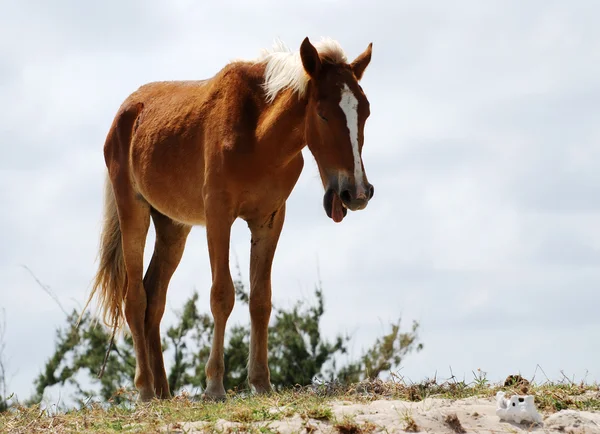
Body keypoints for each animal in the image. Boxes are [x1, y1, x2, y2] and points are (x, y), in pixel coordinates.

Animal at [85, 35, 376, 402]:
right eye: (323, 114)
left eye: (365, 111)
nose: (357, 192)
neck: (259, 136)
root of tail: (124, 114)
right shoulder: (218, 215)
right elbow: (222, 295)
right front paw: (214, 385)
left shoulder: (269, 219)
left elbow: (261, 299)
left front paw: (261, 382)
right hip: (133, 212)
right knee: (135, 298)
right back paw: (146, 390)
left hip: (173, 227)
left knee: (154, 298)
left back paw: (164, 391)